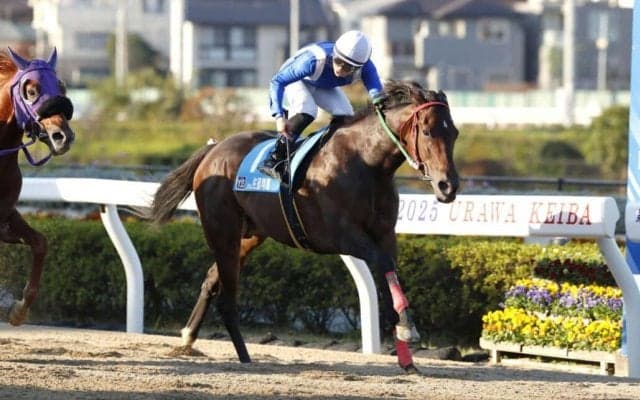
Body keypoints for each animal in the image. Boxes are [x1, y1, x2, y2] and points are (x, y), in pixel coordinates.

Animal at [0, 48, 75, 325]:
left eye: (62, 87)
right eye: (31, 91)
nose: (62, 136)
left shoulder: (5, 216)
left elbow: (41, 243)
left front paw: (18, 309)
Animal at [149, 80, 459, 372]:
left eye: (454, 132)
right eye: (428, 131)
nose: (448, 186)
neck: (367, 164)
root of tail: (213, 150)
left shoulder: (384, 235)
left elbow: (388, 275)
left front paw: (407, 356)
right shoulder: (343, 236)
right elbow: (382, 264)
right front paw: (409, 327)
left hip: (249, 236)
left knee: (212, 278)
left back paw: (190, 336)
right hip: (222, 229)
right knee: (226, 296)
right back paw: (244, 357)